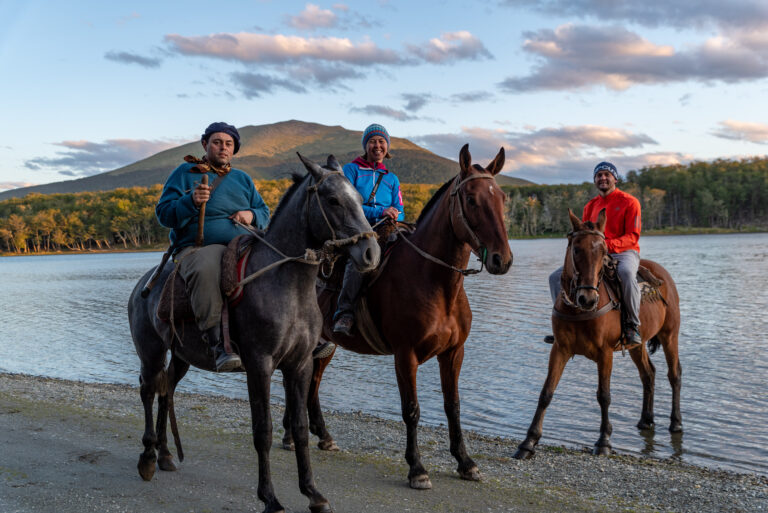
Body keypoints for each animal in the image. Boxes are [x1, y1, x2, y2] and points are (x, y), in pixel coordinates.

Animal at [127, 153, 380, 512]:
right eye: (332, 200)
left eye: (360, 199)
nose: (371, 253)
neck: (287, 285)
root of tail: (143, 285)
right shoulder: (259, 366)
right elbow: (263, 431)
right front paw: (270, 497)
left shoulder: (300, 365)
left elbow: (300, 428)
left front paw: (313, 493)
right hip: (150, 352)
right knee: (149, 391)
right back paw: (148, 457)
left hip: (181, 356)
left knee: (166, 391)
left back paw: (164, 455)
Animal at [282, 144, 510, 488]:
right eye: (471, 199)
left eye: (502, 199)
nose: (502, 259)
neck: (436, 283)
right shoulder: (406, 355)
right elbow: (411, 409)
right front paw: (417, 468)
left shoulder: (454, 353)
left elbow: (453, 406)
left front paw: (466, 462)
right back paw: (289, 436)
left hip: (325, 344)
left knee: (313, 383)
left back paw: (322, 436)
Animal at [512, 209, 680, 460]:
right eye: (575, 249)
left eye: (603, 251)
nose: (588, 298)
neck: (579, 309)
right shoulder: (560, 349)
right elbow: (546, 392)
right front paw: (528, 442)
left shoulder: (605, 353)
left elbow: (604, 396)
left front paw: (604, 441)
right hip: (637, 345)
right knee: (648, 374)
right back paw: (645, 420)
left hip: (670, 336)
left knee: (674, 374)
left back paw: (676, 423)